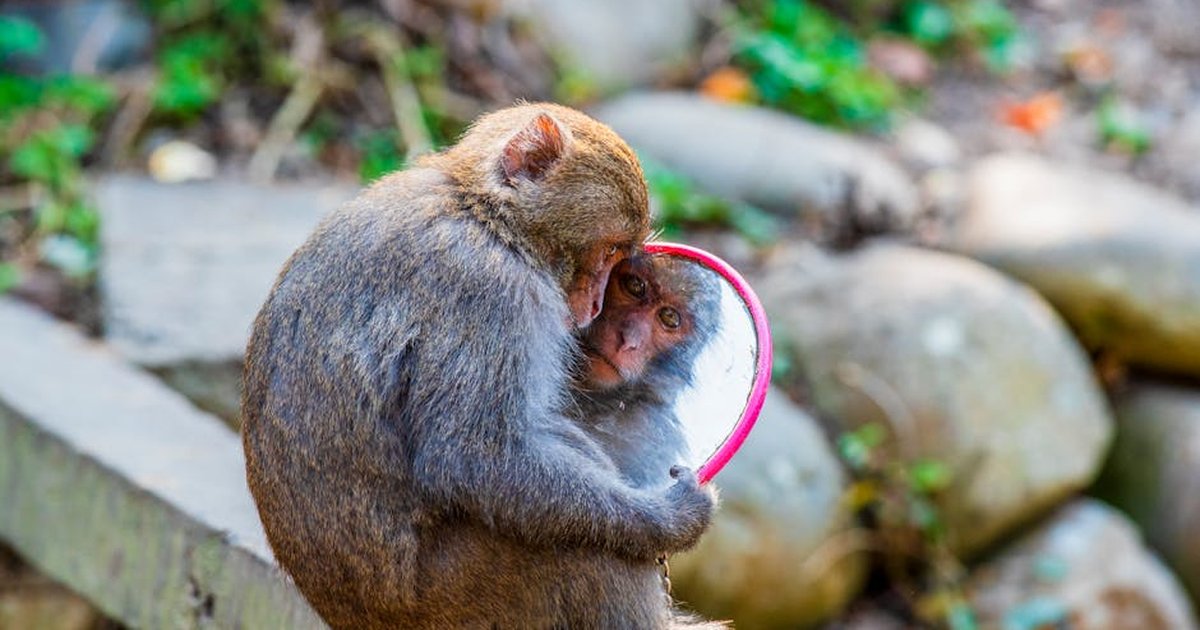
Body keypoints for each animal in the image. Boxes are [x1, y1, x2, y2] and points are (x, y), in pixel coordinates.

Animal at [241, 103, 716, 629]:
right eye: (610, 250)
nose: (593, 307)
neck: (483, 213)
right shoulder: (495, 291)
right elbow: (479, 459)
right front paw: (670, 517)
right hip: (460, 595)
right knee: (584, 548)